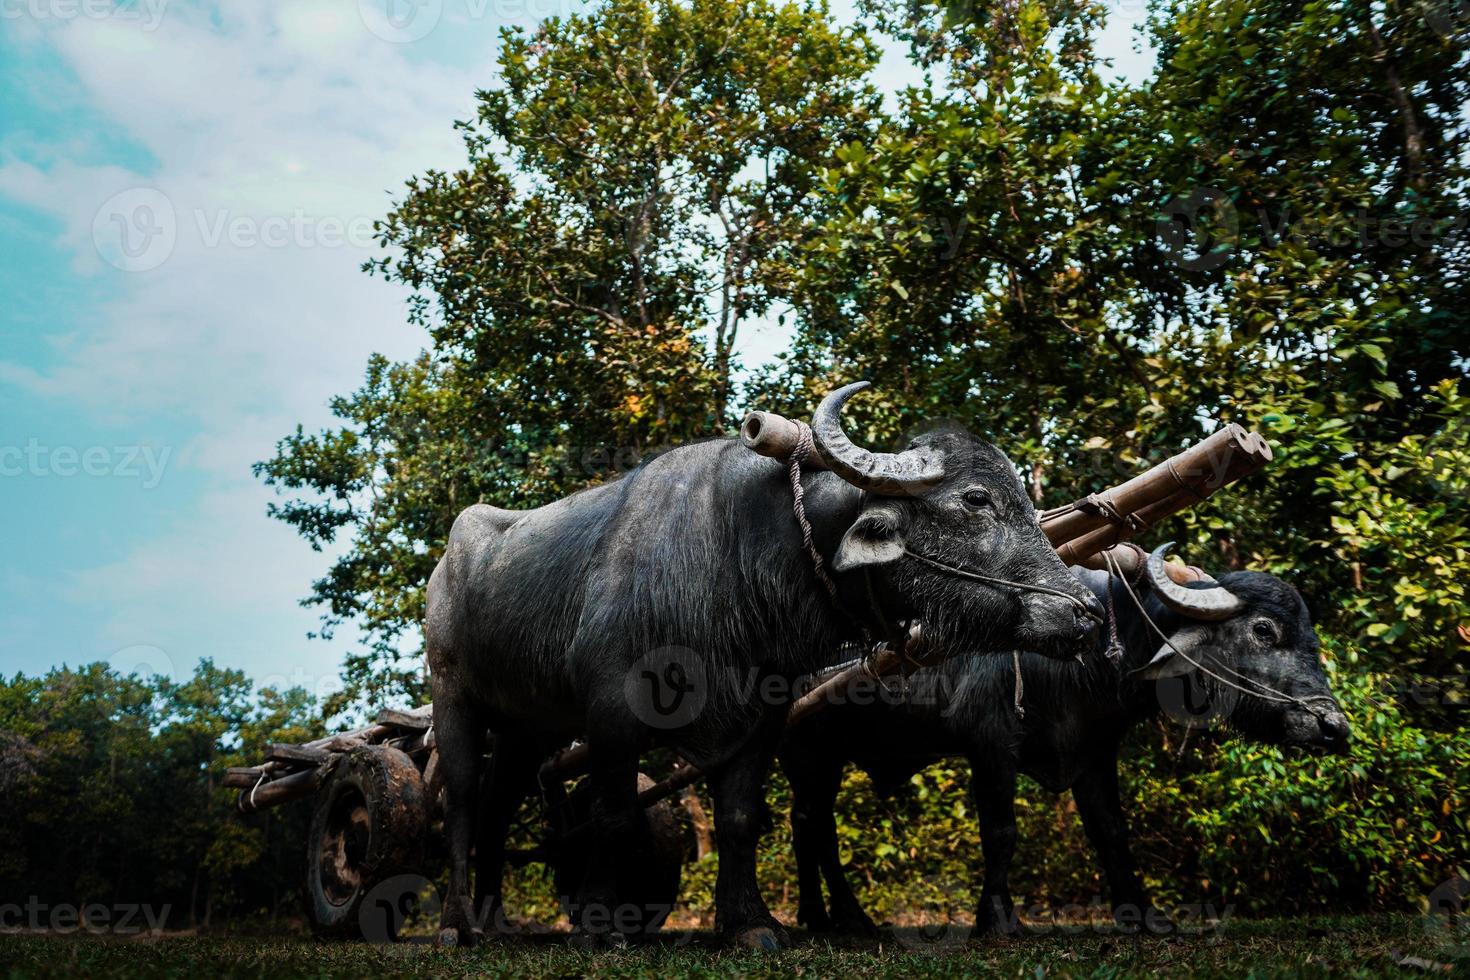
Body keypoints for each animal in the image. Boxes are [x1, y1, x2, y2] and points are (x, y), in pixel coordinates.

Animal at [426, 384, 1105, 952]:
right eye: (977, 499)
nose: (1085, 611)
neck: (736, 559)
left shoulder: (762, 716)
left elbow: (739, 820)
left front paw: (748, 924)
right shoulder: (612, 711)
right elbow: (613, 815)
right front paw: (598, 925)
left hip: (525, 728)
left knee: (496, 810)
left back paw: (495, 920)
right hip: (452, 698)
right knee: (461, 803)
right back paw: (457, 925)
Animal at [787, 543, 1346, 934]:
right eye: (1264, 631)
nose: (1332, 726)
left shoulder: (1095, 751)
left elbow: (1111, 831)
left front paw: (1143, 914)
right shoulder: (991, 745)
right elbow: (1001, 832)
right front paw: (997, 919)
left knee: (811, 826)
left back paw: (825, 916)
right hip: (810, 752)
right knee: (815, 827)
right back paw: (841, 918)